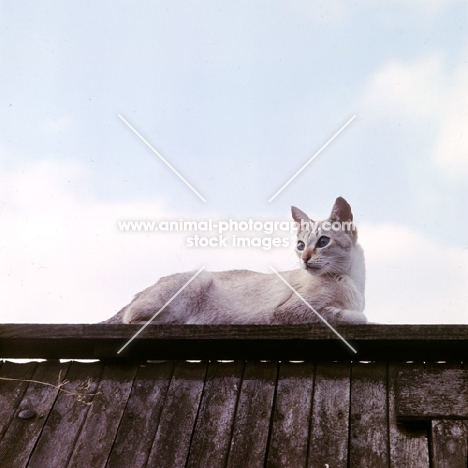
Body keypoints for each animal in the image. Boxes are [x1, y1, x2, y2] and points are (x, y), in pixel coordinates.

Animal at [105, 197, 366, 326]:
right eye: (301, 245)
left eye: (323, 241)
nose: (304, 258)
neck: (352, 280)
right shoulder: (289, 313)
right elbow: (357, 318)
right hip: (200, 278)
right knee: (131, 318)